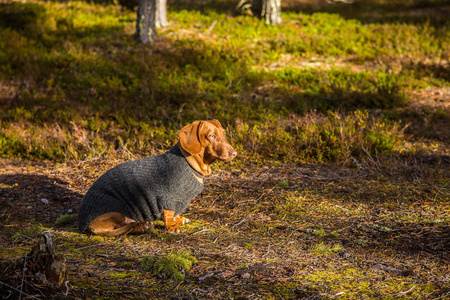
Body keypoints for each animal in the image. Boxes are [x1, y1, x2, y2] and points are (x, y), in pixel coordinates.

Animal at [78, 119, 237, 237]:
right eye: (211, 136)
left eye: (224, 134)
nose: (234, 153)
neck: (189, 164)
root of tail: (85, 224)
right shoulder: (168, 198)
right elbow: (169, 214)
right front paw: (172, 226)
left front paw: (179, 219)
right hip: (116, 212)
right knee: (123, 228)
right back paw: (142, 226)